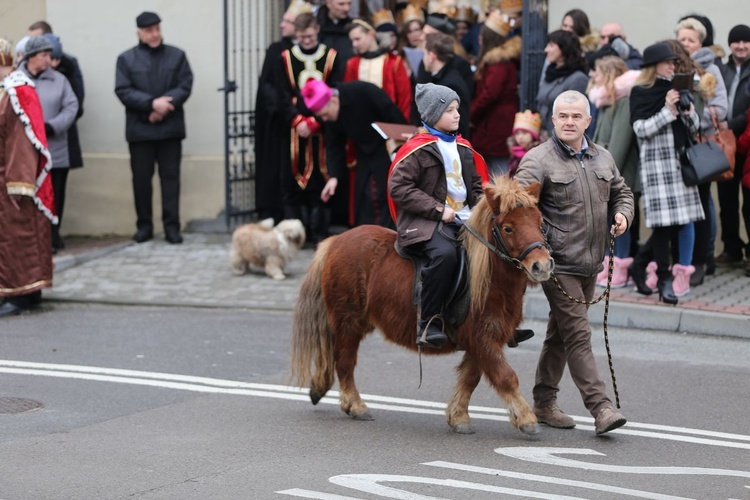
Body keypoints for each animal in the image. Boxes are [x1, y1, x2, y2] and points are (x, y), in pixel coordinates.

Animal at [290, 178, 556, 436]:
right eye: (508, 228)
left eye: (540, 222)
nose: (542, 266)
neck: (487, 279)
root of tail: (336, 240)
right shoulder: (482, 339)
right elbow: (506, 376)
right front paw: (527, 419)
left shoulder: (480, 342)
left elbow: (470, 378)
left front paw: (458, 417)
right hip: (348, 320)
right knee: (344, 361)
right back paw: (354, 405)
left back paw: (320, 388)